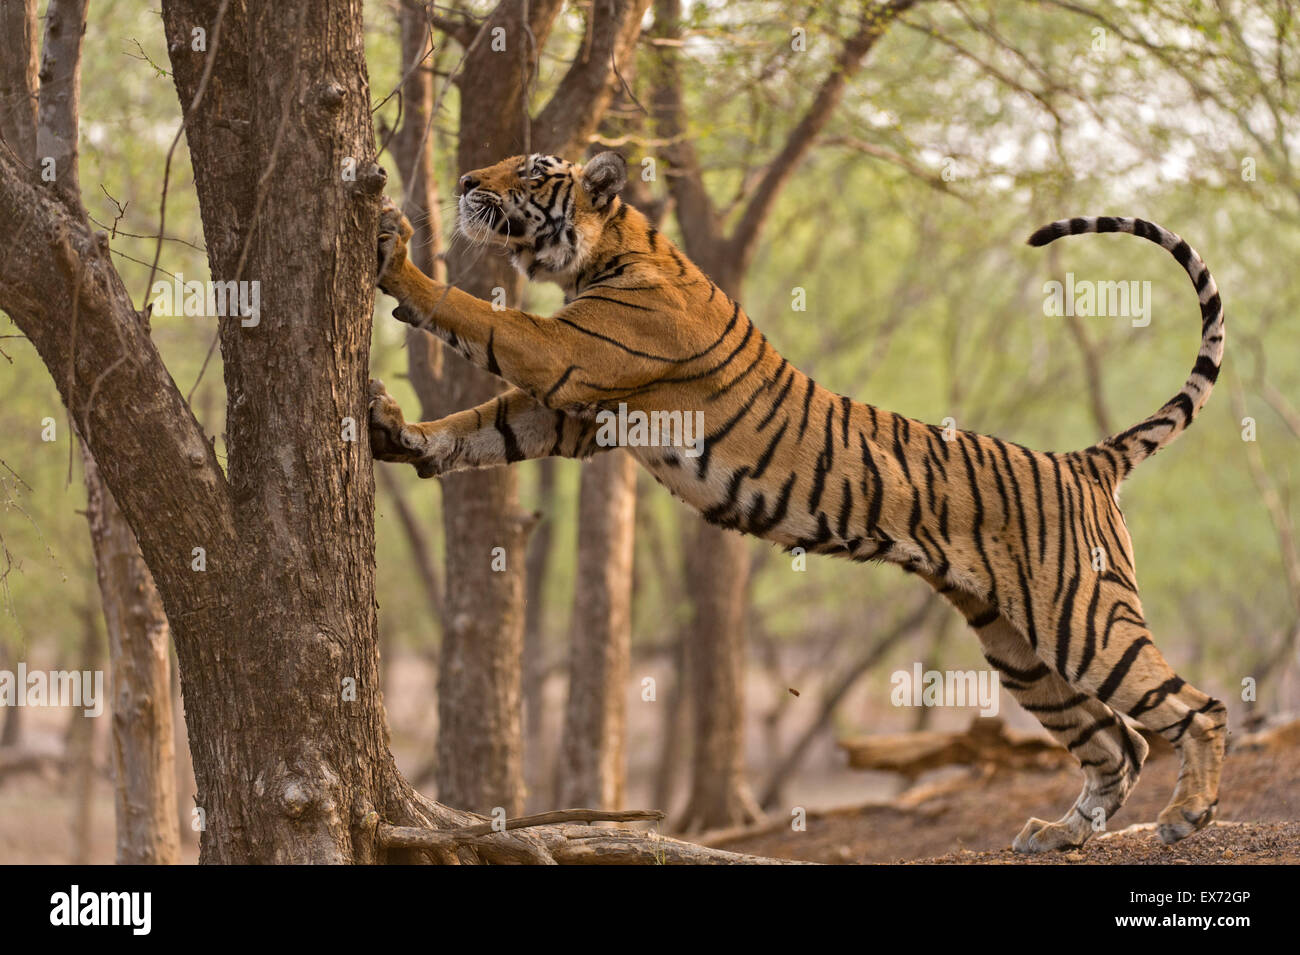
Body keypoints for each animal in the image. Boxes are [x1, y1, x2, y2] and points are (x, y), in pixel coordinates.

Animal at [369, 153, 1227, 857]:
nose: (467, 180)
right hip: (1018, 645)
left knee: (1196, 707)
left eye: (534, 169)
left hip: (1082, 618)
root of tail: (1084, 459)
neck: (607, 251)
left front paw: (395, 253)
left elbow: (477, 316)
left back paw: (1187, 814)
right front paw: (400, 433)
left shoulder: (568, 357)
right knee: (1117, 744)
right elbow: (484, 423)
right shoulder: (576, 411)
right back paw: (1059, 833)